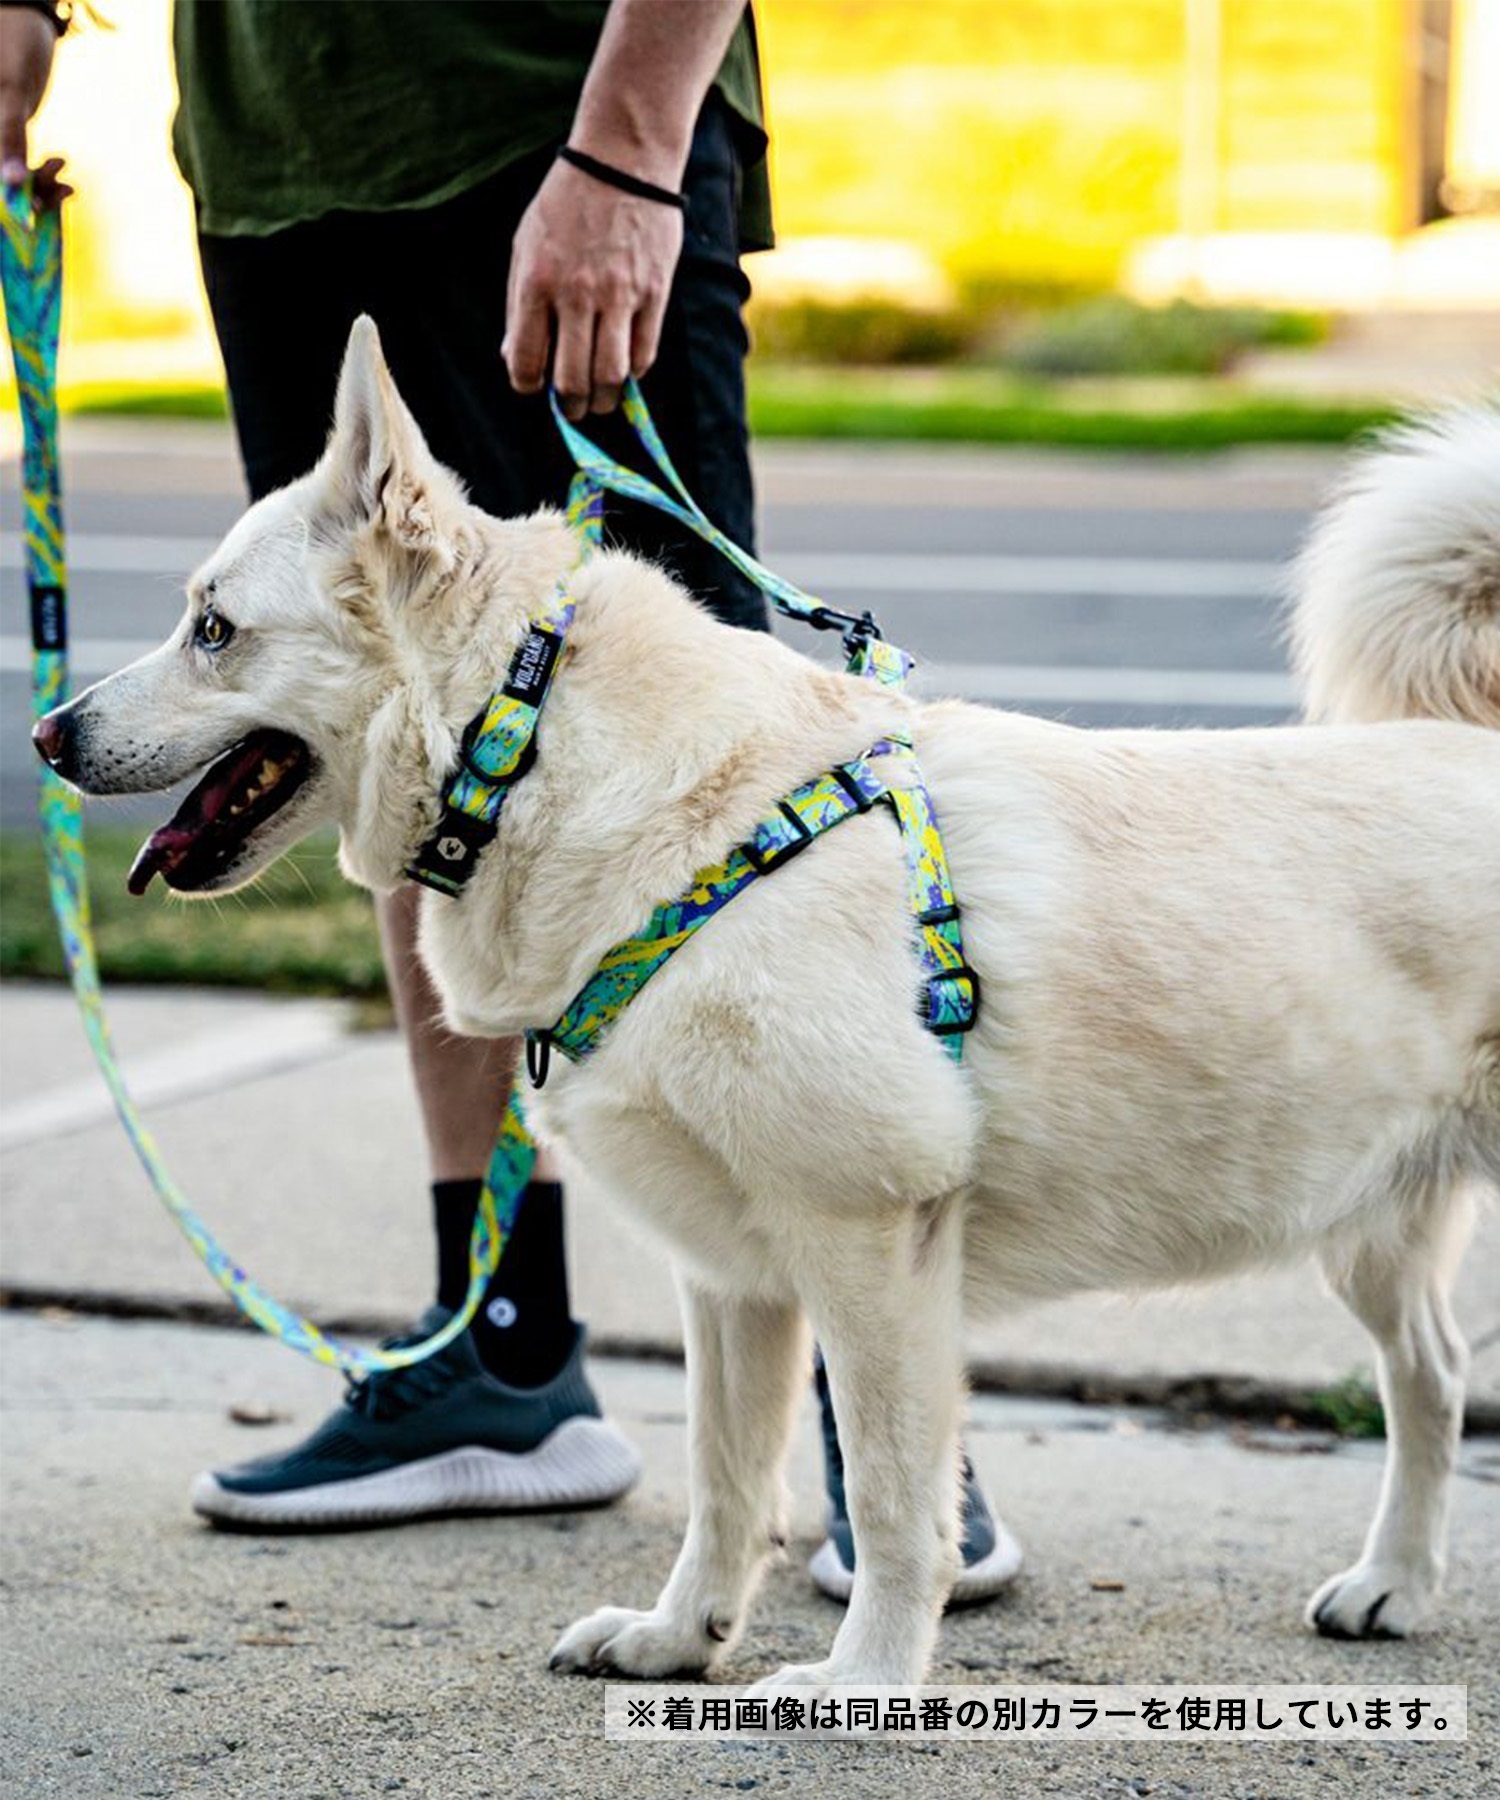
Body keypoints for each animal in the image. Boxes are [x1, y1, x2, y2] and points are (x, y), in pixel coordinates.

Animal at [35, 324, 1498, 1684]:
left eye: (212, 629)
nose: (49, 734)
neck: (585, 781)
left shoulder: (870, 1246)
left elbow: (895, 1503)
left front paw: (868, 1676)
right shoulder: (730, 1275)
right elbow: (726, 1485)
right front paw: (679, 1641)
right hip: (1367, 1229)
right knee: (1432, 1379)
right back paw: (1394, 1588)